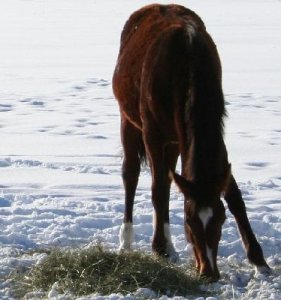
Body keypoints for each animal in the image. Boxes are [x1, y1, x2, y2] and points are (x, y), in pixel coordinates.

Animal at [111, 4, 270, 282]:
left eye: (220, 218)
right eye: (188, 221)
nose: (209, 272)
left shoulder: (215, 132)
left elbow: (234, 195)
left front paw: (259, 260)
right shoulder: (152, 133)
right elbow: (157, 191)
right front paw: (160, 248)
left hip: (176, 139)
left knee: (167, 176)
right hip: (129, 121)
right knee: (131, 174)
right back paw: (128, 242)